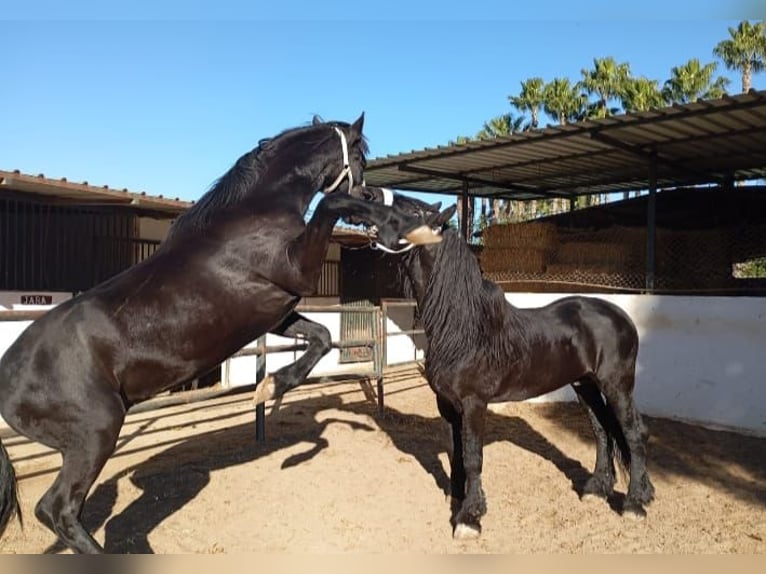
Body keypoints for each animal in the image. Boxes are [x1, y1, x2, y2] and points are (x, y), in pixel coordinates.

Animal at [0, 116, 441, 554]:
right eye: (362, 158)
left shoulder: (273, 312)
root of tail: (8, 375)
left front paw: (270, 387)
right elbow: (330, 204)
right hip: (96, 432)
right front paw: (408, 229)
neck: (254, 214)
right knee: (57, 509)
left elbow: (320, 337)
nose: (371, 194)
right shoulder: (296, 273)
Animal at [363, 188, 655, 540]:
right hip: (585, 384)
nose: (367, 193)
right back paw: (598, 489)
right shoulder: (446, 404)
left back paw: (635, 504)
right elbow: (455, 452)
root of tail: (621, 316)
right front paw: (458, 501)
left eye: (409, 212)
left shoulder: (474, 403)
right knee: (602, 430)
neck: (464, 327)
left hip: (617, 385)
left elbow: (473, 457)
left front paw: (469, 518)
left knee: (633, 433)